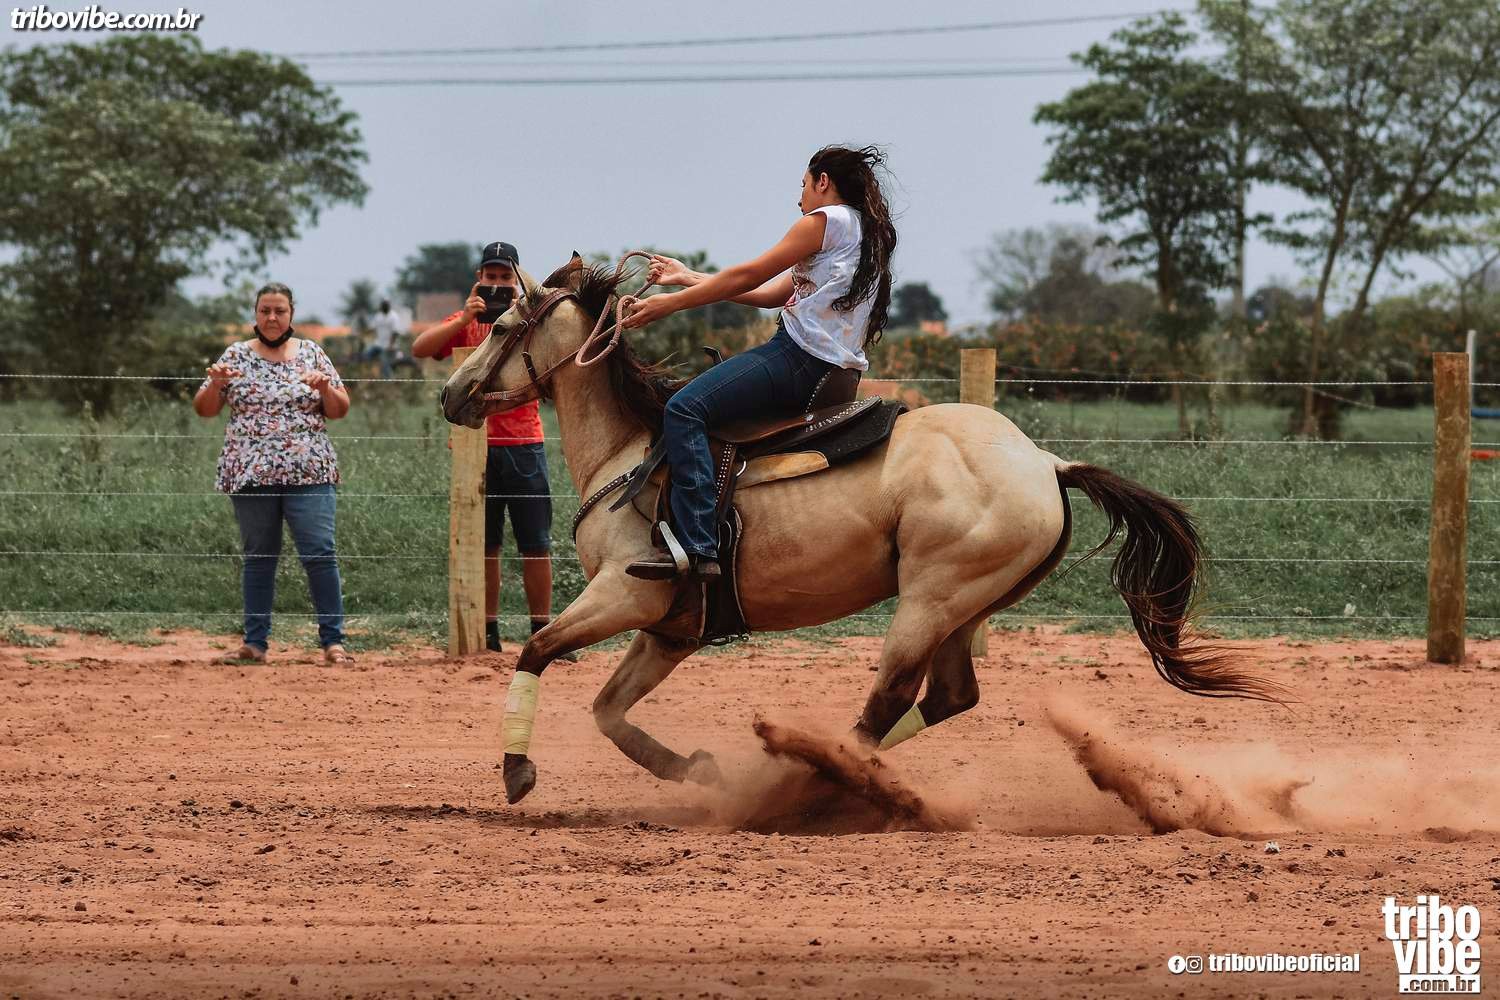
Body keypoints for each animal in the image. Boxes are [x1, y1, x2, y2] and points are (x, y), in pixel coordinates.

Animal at [439, 256, 1282, 805]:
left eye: (503, 322)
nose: (451, 393)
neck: (634, 453)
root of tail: (1045, 462)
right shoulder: (670, 629)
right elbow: (610, 713)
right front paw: (695, 770)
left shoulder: (627, 595)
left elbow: (539, 651)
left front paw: (517, 774)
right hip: (964, 606)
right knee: (949, 697)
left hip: (929, 600)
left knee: (888, 701)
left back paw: (809, 778)